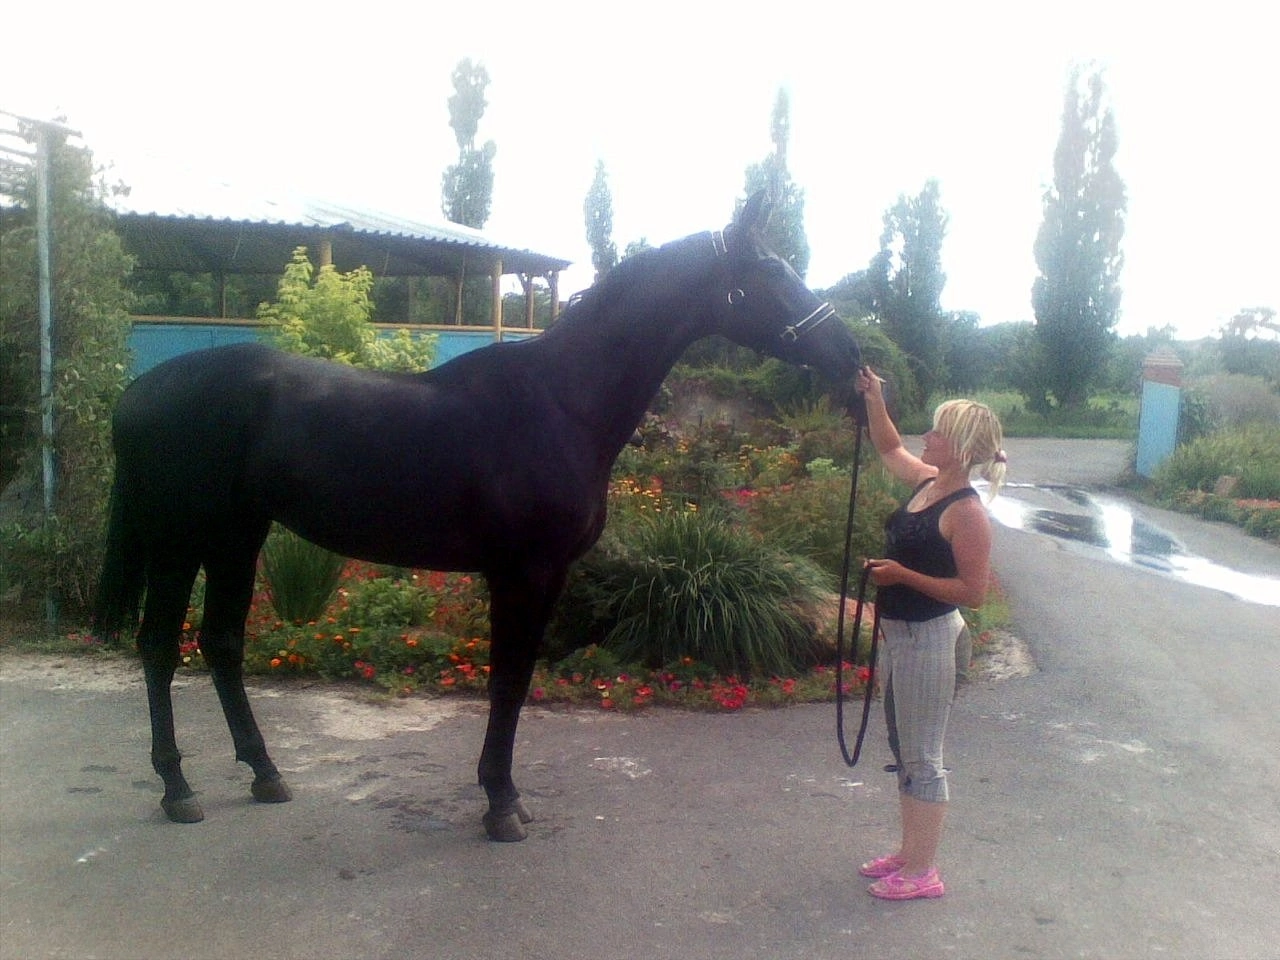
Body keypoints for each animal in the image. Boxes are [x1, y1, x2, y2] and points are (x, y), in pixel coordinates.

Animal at [93, 193, 864, 841]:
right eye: (771, 271)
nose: (852, 356)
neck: (560, 403)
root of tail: (138, 392)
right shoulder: (525, 573)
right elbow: (508, 682)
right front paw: (501, 805)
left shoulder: (534, 576)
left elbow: (512, 681)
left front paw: (502, 797)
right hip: (180, 541)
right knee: (159, 647)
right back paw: (178, 789)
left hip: (237, 536)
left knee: (221, 642)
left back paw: (265, 774)